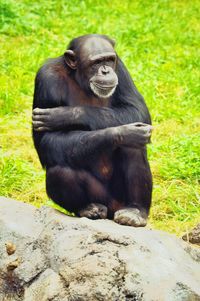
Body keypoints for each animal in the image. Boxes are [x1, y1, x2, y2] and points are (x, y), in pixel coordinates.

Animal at [32, 34, 152, 225]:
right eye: (96, 63)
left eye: (109, 60)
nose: (106, 71)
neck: (79, 79)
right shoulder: (46, 78)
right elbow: (48, 141)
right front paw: (123, 133)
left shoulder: (120, 67)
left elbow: (136, 109)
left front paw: (65, 114)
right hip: (105, 200)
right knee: (59, 172)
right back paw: (88, 208)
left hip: (120, 202)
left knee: (133, 147)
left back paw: (135, 211)